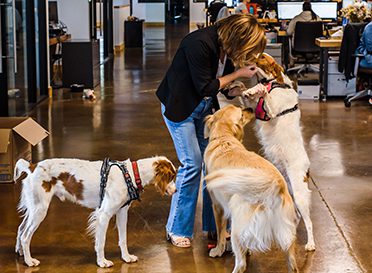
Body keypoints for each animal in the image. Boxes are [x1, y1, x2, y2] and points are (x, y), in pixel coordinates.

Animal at [13, 156, 177, 266]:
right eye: (171, 176)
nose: (176, 190)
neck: (130, 174)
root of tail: (32, 166)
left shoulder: (122, 212)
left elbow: (123, 239)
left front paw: (126, 257)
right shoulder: (103, 215)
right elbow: (101, 242)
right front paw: (102, 262)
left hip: (34, 209)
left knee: (21, 229)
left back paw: (20, 252)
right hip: (40, 210)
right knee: (26, 236)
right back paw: (29, 261)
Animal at [203, 104, 300, 272]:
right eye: (241, 113)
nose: (249, 108)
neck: (223, 138)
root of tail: (275, 184)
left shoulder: (217, 205)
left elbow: (220, 232)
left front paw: (217, 250)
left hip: (237, 221)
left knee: (241, 264)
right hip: (287, 232)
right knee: (292, 263)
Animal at [231, 52, 316, 251]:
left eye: (261, 56)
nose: (247, 56)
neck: (275, 83)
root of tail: (307, 170)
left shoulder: (271, 111)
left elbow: (266, 95)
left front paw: (259, 89)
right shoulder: (254, 109)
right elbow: (249, 96)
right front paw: (245, 88)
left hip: (300, 194)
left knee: (308, 222)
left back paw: (310, 244)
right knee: (297, 216)